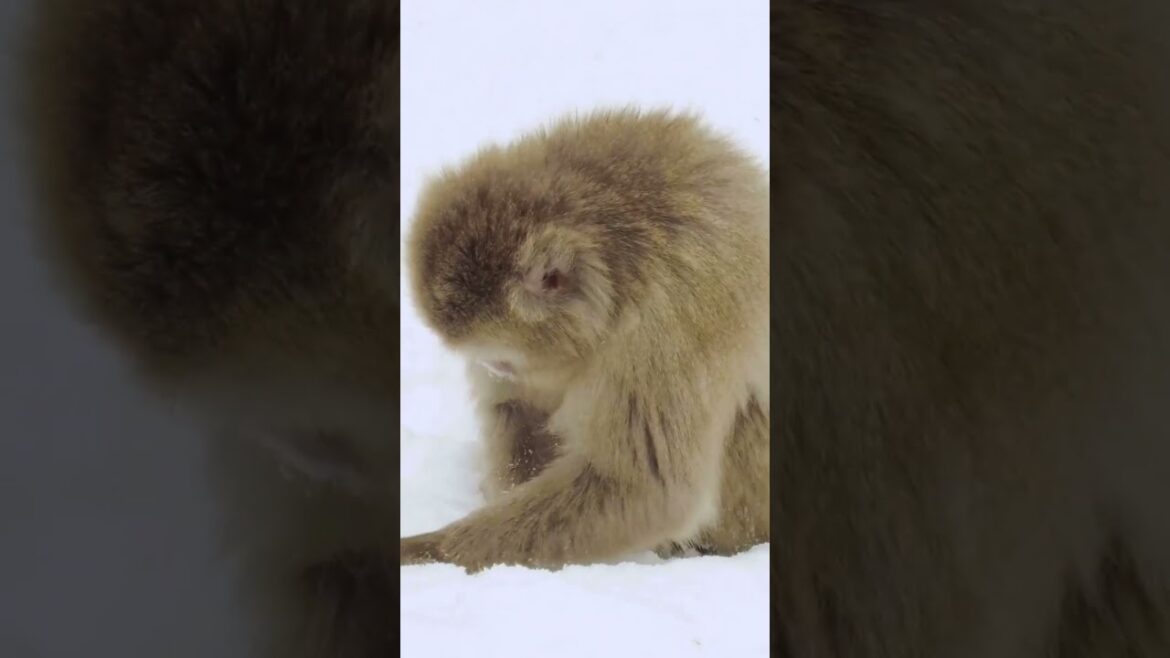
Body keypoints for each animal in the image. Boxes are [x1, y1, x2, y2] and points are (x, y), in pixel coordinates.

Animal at [401, 107, 770, 570]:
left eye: (503, 361)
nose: (501, 371)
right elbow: (517, 409)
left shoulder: (674, 312)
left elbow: (644, 485)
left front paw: (427, 550)